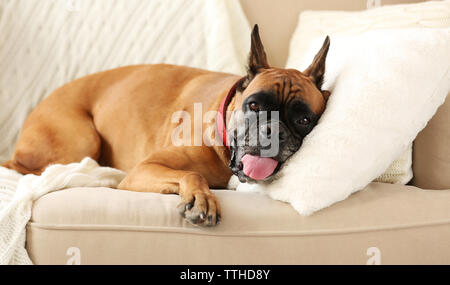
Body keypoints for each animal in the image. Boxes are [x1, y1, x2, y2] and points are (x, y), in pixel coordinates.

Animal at [0, 26, 330, 226]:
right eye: (254, 106)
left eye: (303, 120)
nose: (272, 131)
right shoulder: (144, 169)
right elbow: (192, 173)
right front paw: (201, 198)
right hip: (82, 139)